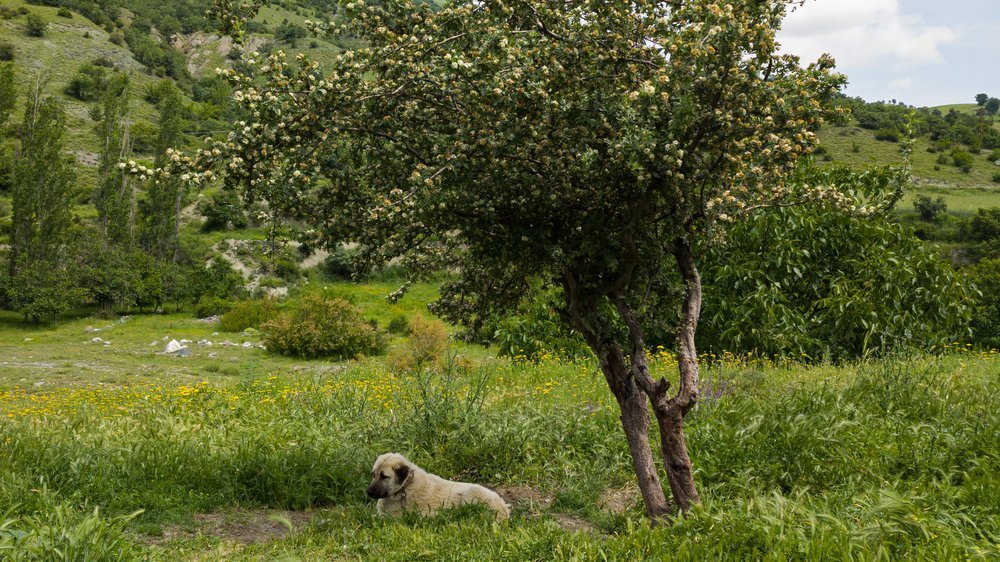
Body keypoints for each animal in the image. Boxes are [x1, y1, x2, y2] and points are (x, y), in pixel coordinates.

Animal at [366, 452, 512, 520]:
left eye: (384, 476)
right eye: (373, 475)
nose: (368, 492)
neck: (405, 486)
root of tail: (504, 508)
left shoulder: (392, 518)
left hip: (472, 492)